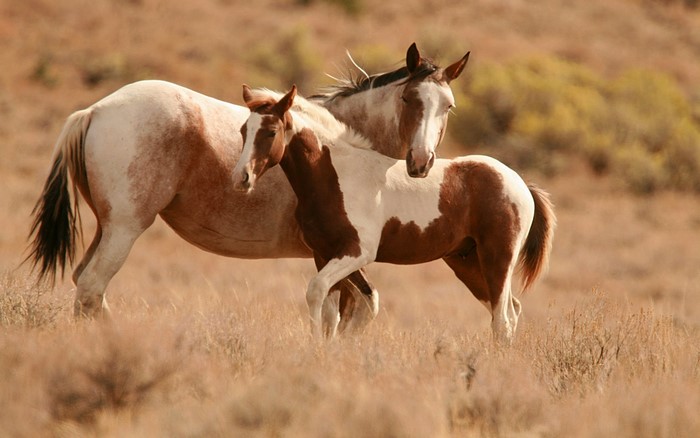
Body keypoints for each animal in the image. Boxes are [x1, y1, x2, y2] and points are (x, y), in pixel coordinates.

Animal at [26, 43, 470, 333]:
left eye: (448, 105)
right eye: (410, 98)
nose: (421, 162)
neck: (342, 147)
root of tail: (94, 110)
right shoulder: (338, 255)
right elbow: (348, 314)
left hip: (107, 228)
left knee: (86, 288)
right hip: (124, 229)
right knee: (91, 289)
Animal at [232, 86, 556, 343]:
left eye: (271, 132)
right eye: (243, 131)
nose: (241, 178)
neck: (335, 176)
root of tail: (519, 182)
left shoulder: (357, 252)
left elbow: (316, 291)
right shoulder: (324, 253)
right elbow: (330, 310)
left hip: (497, 259)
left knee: (503, 319)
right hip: (468, 263)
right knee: (510, 311)